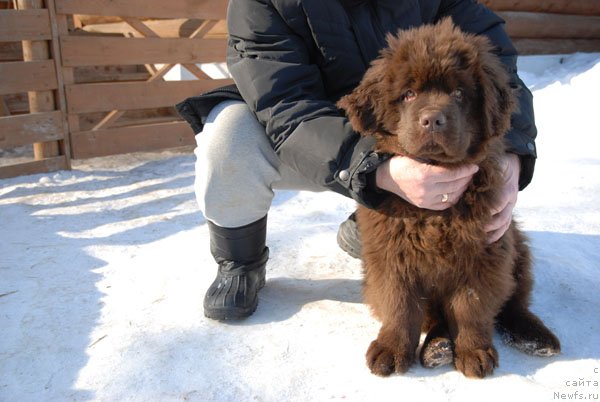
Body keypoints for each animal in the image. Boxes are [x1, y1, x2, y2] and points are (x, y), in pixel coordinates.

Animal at [340, 18, 560, 376]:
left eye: (459, 93)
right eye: (409, 94)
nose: (432, 119)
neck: (435, 215)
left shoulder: (483, 255)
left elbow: (471, 307)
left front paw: (475, 352)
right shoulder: (391, 256)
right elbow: (400, 305)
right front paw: (391, 349)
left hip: (516, 246)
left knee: (513, 302)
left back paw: (533, 336)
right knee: (435, 316)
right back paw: (439, 346)